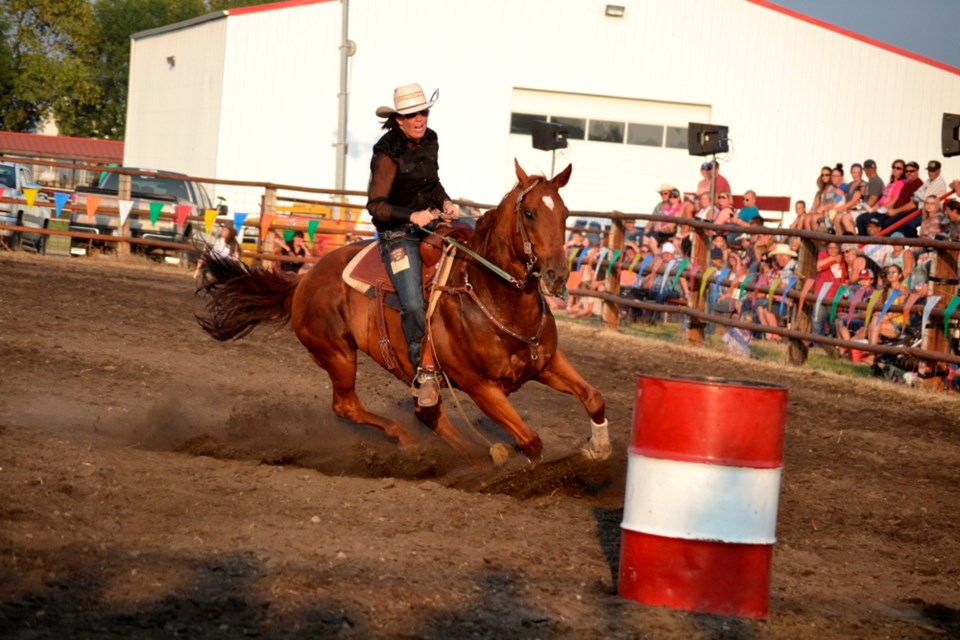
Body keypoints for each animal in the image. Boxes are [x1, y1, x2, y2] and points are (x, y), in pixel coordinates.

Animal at [197, 161, 608, 464]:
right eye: (530, 212)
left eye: (566, 214)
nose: (557, 275)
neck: (495, 297)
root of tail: (303, 281)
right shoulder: (481, 387)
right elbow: (531, 441)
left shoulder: (547, 361)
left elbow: (593, 398)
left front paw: (597, 449)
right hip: (338, 354)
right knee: (347, 406)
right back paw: (411, 441)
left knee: (427, 412)